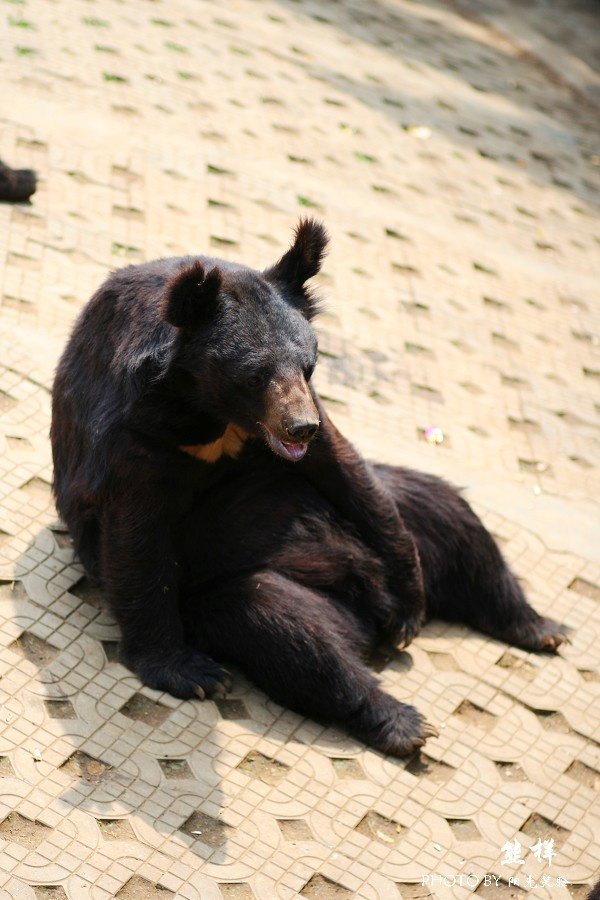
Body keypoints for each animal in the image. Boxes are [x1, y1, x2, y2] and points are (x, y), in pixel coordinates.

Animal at [51, 221, 568, 756]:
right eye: (255, 374)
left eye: (309, 365)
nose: (300, 427)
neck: (212, 415)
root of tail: (363, 617)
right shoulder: (131, 435)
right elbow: (136, 538)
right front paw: (188, 672)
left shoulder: (311, 421)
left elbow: (345, 469)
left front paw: (410, 608)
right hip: (234, 591)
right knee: (288, 630)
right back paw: (400, 719)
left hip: (390, 518)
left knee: (448, 518)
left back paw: (534, 626)